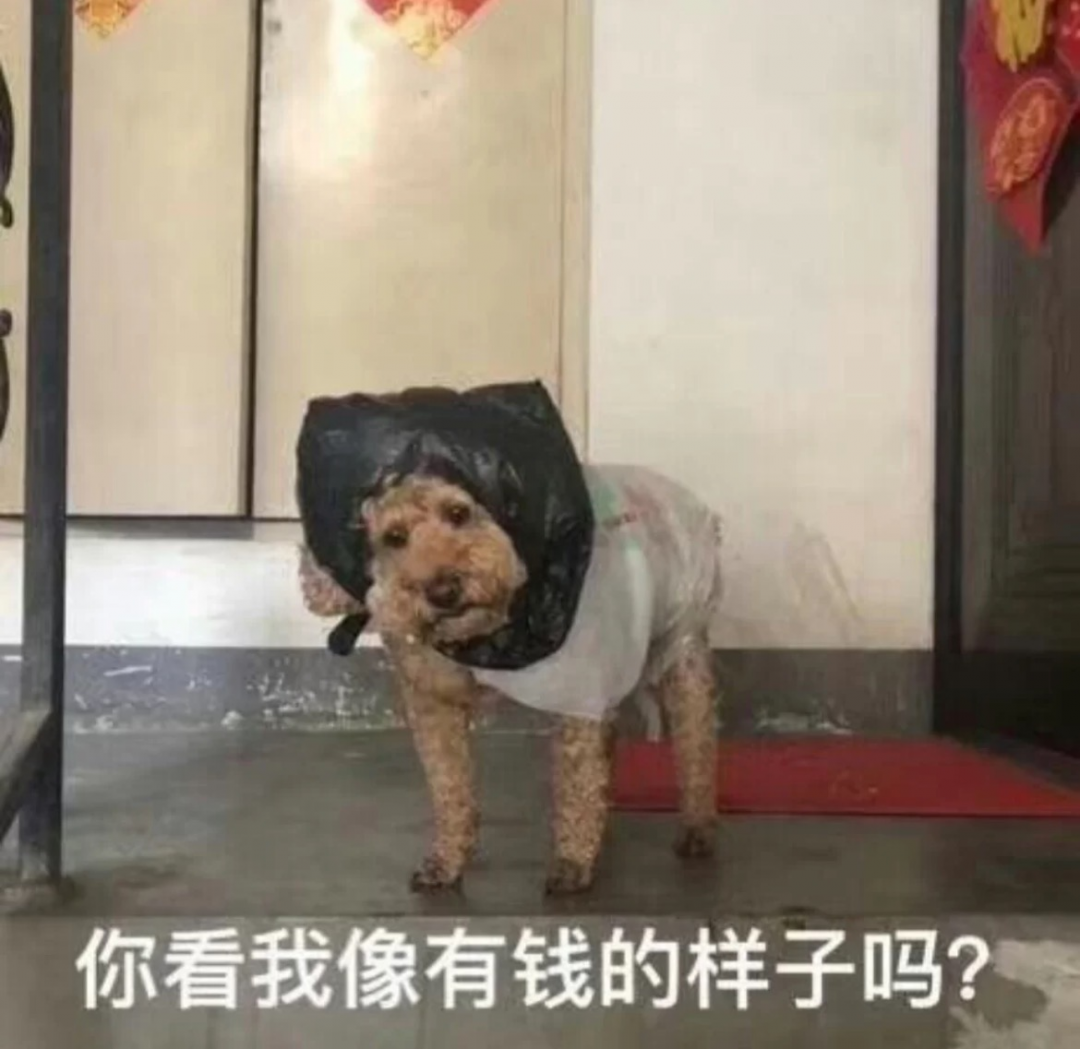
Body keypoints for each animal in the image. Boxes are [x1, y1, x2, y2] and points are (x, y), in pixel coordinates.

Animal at [298, 463, 722, 896]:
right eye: (394, 537)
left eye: (458, 512)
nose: (443, 591)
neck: (485, 635)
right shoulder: (432, 698)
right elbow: (448, 783)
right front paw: (447, 861)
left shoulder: (580, 690)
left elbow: (577, 777)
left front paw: (571, 861)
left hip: (682, 649)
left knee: (697, 742)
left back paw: (697, 828)